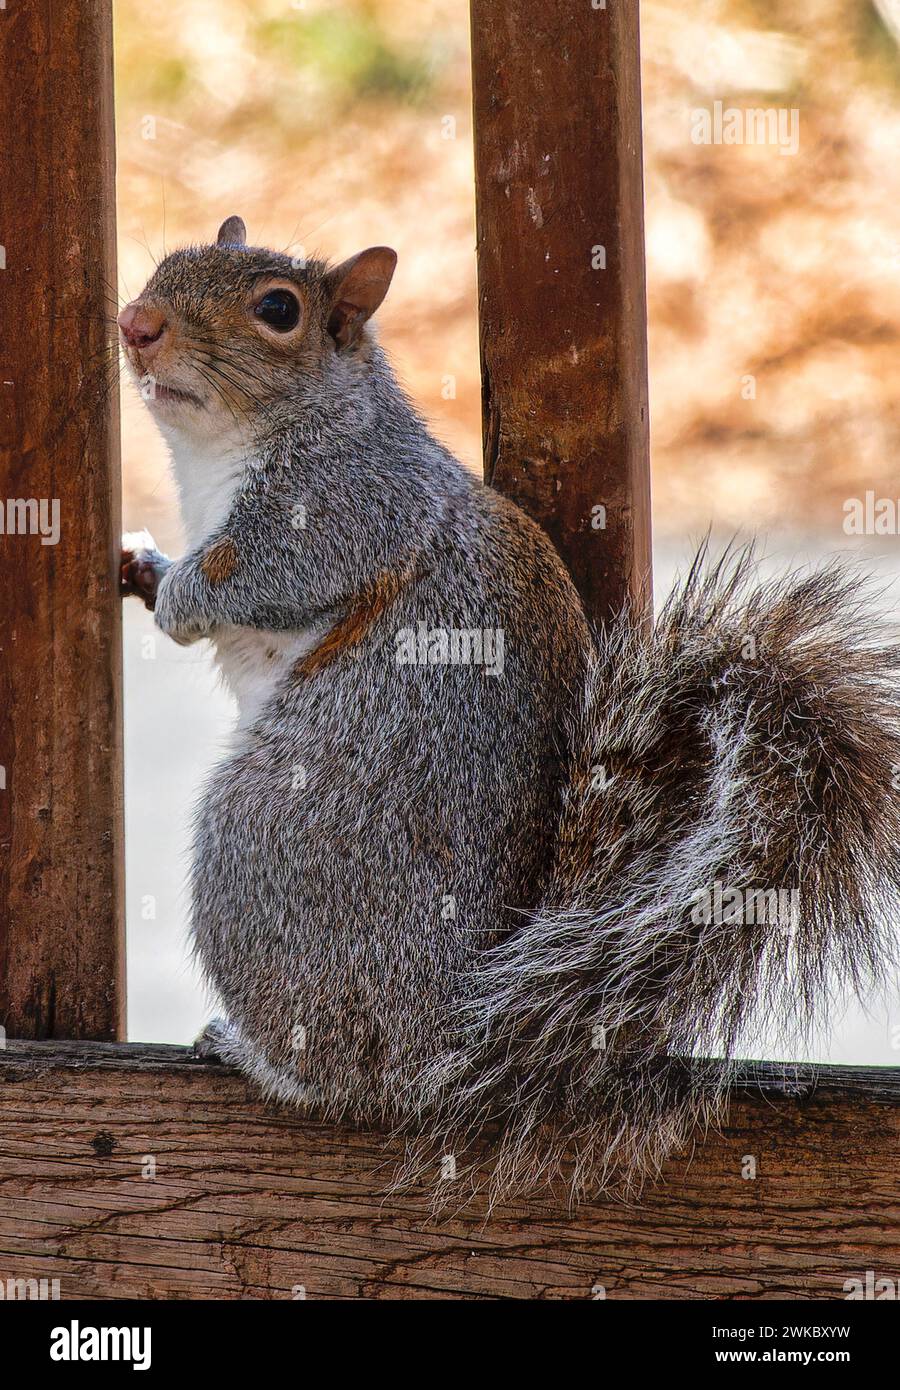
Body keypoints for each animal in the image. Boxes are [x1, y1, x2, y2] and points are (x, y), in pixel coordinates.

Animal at [120, 216, 900, 1204]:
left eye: (278, 310)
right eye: (166, 264)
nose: (136, 324)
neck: (222, 450)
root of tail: (452, 1036)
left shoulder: (344, 511)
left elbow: (259, 574)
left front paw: (180, 596)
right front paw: (147, 567)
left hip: (259, 841)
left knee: (345, 1077)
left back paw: (258, 1056)